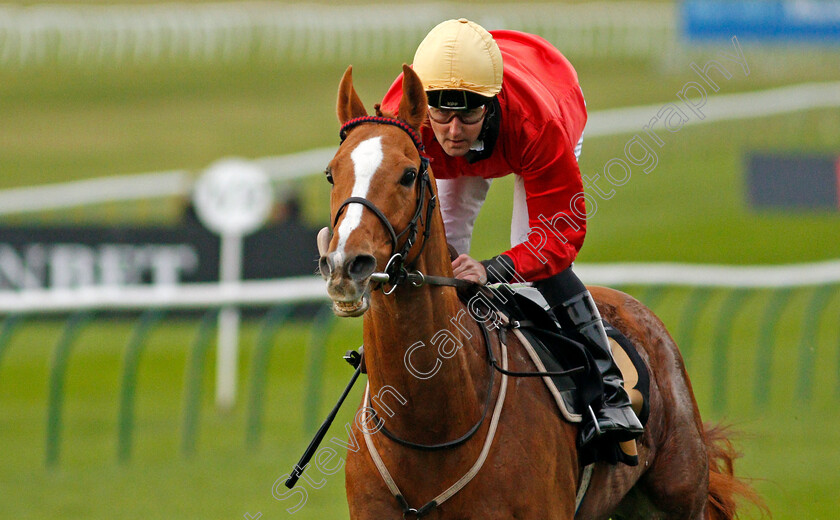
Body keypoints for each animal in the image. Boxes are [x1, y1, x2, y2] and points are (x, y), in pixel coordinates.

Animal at [318, 66, 764, 520]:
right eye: (331, 173)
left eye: (408, 175)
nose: (345, 266)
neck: (431, 429)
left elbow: (559, 233)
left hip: (680, 495)